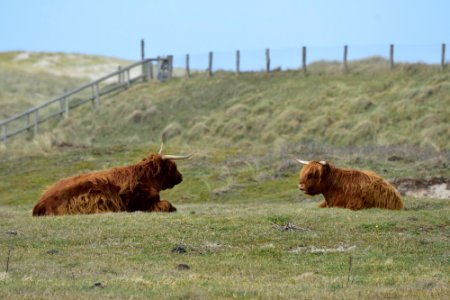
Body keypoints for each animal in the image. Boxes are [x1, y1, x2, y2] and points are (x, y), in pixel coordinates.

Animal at [32, 145, 192, 216]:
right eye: (173, 166)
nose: (181, 177)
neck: (145, 178)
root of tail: (38, 204)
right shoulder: (143, 204)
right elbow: (167, 204)